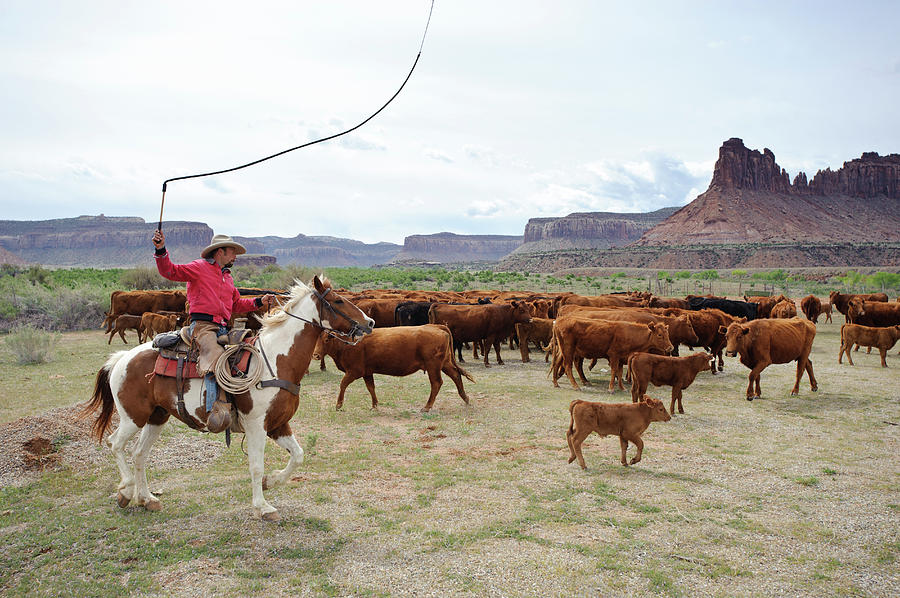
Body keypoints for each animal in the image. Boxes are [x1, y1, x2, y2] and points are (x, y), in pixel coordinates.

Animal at [79, 276, 370, 520]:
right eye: (338, 301)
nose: (370, 323)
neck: (275, 360)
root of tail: (121, 359)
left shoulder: (277, 424)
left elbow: (297, 456)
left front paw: (272, 482)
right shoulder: (256, 425)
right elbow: (256, 466)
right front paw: (263, 507)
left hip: (156, 417)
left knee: (139, 454)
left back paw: (147, 498)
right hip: (133, 417)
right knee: (115, 444)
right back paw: (126, 491)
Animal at [316, 326, 474, 414]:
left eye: (326, 340)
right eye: (317, 339)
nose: (315, 355)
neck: (348, 344)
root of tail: (437, 327)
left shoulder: (355, 371)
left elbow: (343, 384)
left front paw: (338, 405)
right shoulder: (367, 372)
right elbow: (371, 388)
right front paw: (375, 406)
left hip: (433, 366)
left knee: (436, 383)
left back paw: (427, 406)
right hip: (445, 363)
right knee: (456, 375)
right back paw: (466, 398)